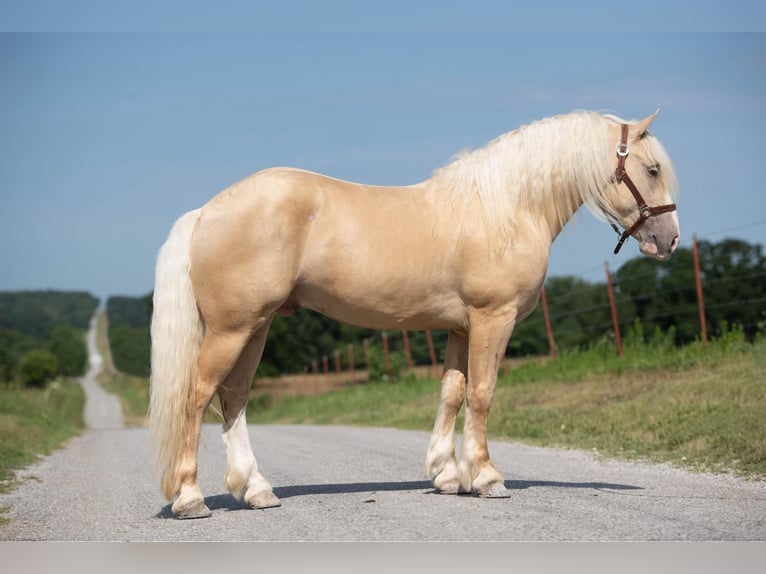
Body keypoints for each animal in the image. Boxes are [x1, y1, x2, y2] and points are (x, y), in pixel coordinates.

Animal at [148, 110, 680, 520]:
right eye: (652, 169)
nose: (669, 240)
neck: (506, 208)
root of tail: (205, 212)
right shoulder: (493, 318)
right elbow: (482, 395)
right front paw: (486, 478)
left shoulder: (461, 327)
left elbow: (452, 393)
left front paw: (446, 474)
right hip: (232, 329)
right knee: (198, 397)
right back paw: (191, 499)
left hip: (256, 327)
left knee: (233, 397)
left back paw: (256, 490)